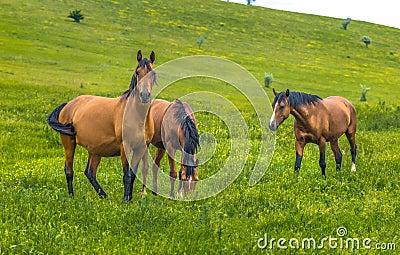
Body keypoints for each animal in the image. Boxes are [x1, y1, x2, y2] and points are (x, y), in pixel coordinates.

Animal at [47, 49, 156, 201]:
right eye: (137, 72)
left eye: (153, 73)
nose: (144, 95)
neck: (137, 115)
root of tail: (69, 104)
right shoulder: (125, 147)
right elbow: (127, 175)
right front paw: (125, 200)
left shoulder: (141, 148)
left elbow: (133, 175)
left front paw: (130, 199)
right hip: (69, 143)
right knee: (69, 170)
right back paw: (72, 196)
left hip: (95, 150)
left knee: (90, 172)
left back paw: (103, 195)